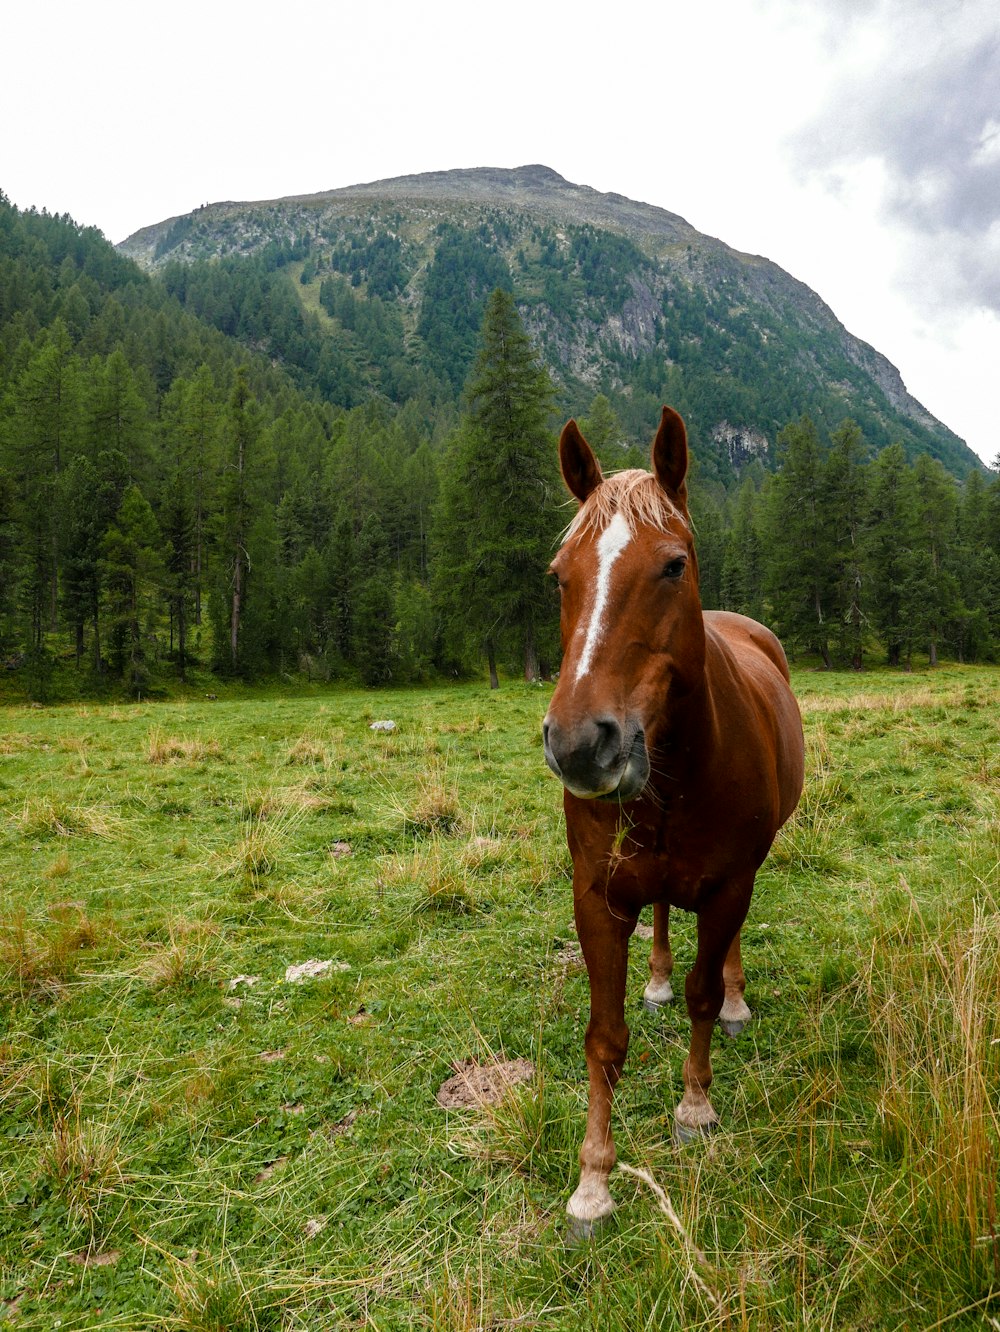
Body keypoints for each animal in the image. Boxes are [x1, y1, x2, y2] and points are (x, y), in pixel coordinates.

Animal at [543, 404, 804, 1236]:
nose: (580, 743)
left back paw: (737, 999)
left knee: (721, 959)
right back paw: (655, 977)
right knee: (660, 915)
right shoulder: (597, 899)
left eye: (673, 566)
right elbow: (604, 1037)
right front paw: (593, 1181)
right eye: (560, 577)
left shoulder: (728, 887)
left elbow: (701, 994)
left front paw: (694, 1107)